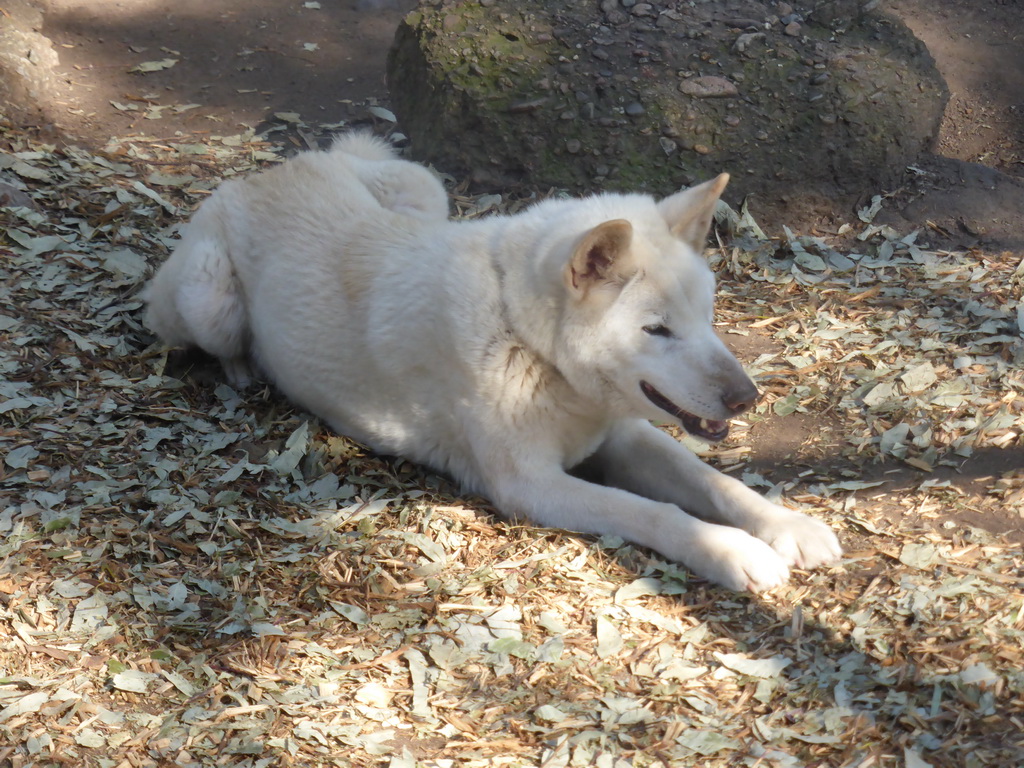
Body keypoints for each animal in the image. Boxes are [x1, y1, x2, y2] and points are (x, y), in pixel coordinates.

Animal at [146, 134, 847, 589]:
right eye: (657, 330)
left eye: (706, 315)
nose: (746, 399)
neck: (526, 335)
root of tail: (272, 170)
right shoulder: (532, 485)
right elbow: (654, 511)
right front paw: (733, 552)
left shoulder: (624, 434)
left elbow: (712, 482)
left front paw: (786, 524)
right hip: (208, 304)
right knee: (205, 337)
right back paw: (245, 369)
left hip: (425, 190)